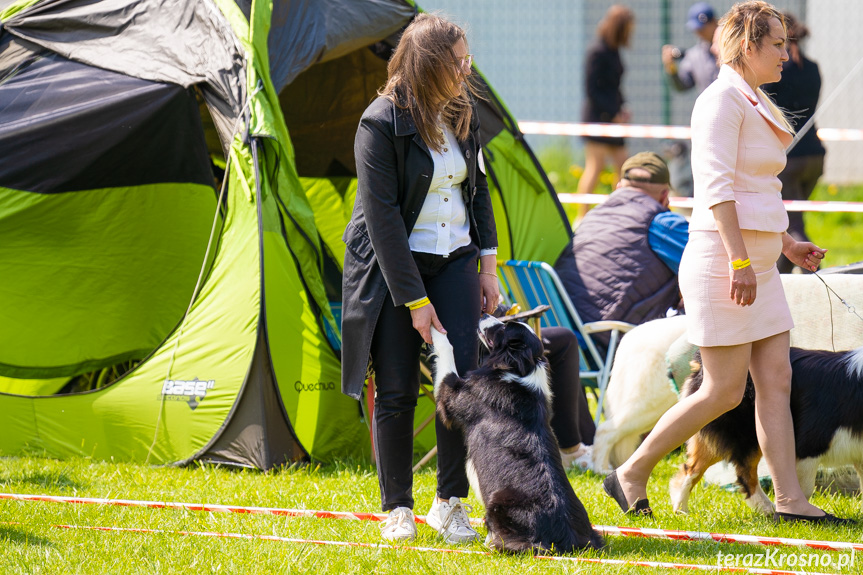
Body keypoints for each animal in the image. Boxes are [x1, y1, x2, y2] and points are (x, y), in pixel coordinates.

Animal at [428, 318, 604, 556]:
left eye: (503, 328)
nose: (482, 315)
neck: (521, 370)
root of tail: (565, 538)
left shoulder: (454, 397)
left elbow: (447, 355)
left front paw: (433, 327)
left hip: (498, 502)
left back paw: (492, 543)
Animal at [672, 344, 863, 516]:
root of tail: (701, 363)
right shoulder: (809, 446)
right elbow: (804, 489)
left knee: (691, 468)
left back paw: (680, 510)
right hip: (747, 431)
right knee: (744, 472)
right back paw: (767, 508)